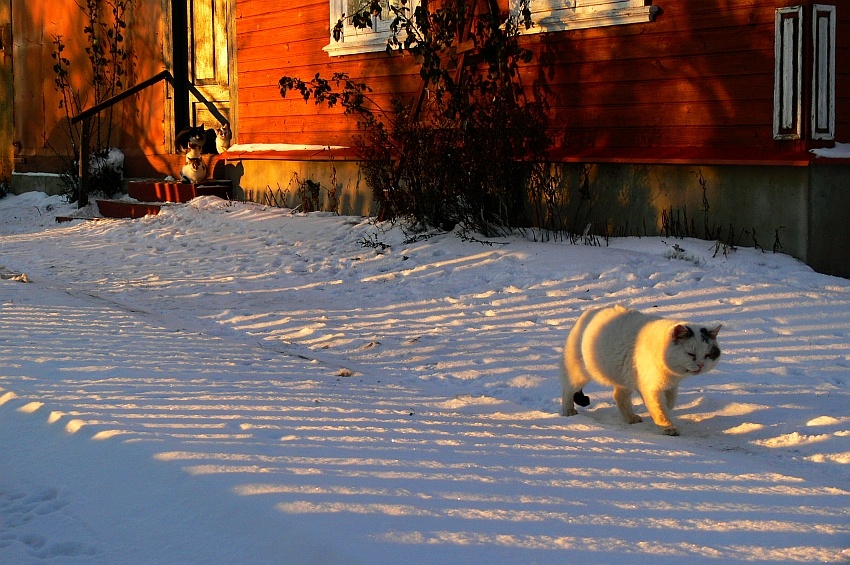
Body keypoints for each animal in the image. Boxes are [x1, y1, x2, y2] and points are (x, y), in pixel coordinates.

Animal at [560, 304, 720, 436]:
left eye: (708, 355)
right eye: (691, 354)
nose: (700, 365)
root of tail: (589, 311)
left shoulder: (671, 385)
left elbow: (669, 403)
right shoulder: (651, 388)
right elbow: (660, 410)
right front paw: (668, 427)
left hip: (623, 377)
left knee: (619, 396)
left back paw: (630, 418)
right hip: (579, 372)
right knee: (567, 389)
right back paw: (568, 411)